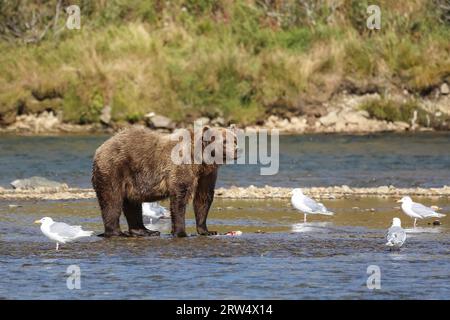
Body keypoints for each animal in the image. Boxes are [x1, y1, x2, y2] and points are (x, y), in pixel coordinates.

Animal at [92, 125, 239, 238]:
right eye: (224, 141)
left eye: (235, 139)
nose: (237, 150)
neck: (201, 160)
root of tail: (100, 148)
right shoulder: (181, 166)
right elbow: (180, 197)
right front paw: (181, 232)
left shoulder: (206, 175)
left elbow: (203, 198)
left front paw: (207, 231)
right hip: (115, 168)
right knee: (112, 199)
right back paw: (117, 232)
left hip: (132, 181)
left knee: (132, 204)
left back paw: (145, 231)